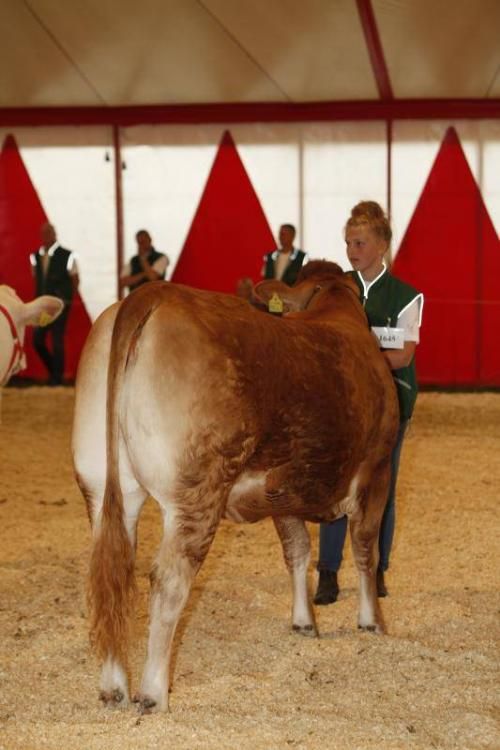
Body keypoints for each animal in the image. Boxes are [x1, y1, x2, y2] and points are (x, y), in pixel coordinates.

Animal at [71, 264, 398, 716]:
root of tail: (153, 295)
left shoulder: (283, 489)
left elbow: (297, 551)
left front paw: (304, 622)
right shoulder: (377, 470)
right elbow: (366, 549)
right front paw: (371, 623)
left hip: (103, 486)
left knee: (110, 573)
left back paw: (114, 687)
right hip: (197, 489)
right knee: (168, 580)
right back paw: (153, 693)